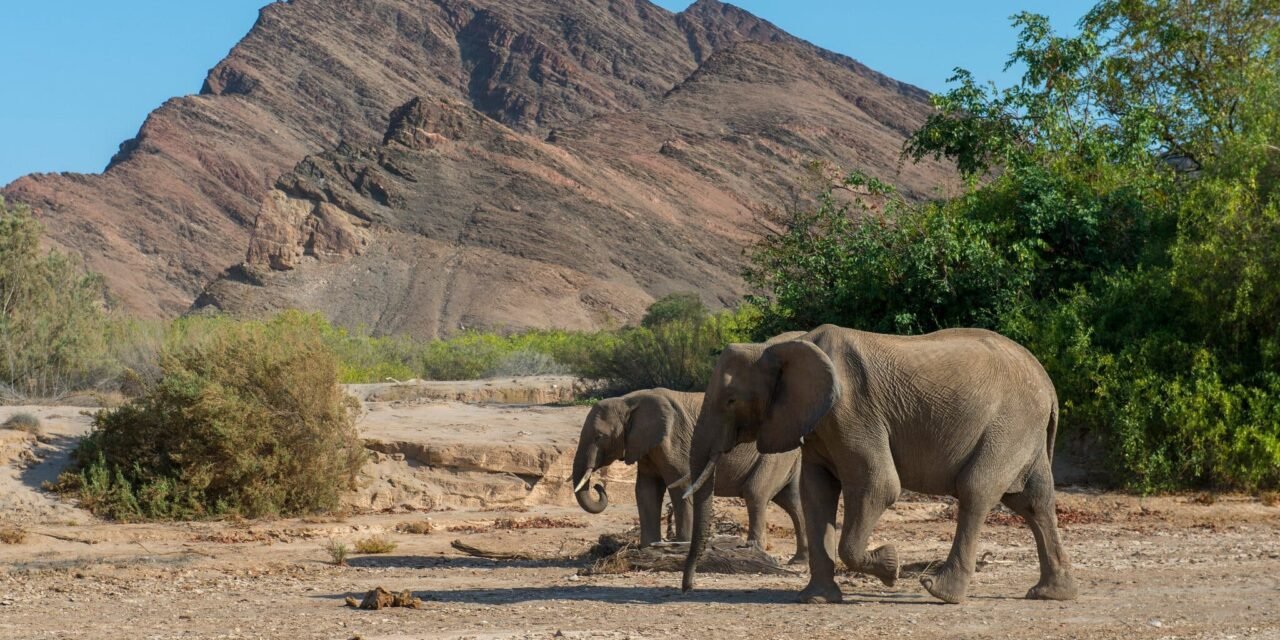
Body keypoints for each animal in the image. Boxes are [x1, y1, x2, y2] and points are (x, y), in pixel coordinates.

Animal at [573, 384, 808, 560]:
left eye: (599, 437)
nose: (599, 486)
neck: (628, 401)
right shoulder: (646, 447)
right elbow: (646, 491)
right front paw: (648, 550)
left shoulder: (674, 441)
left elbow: (680, 488)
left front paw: (681, 547)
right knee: (793, 500)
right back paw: (799, 560)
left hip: (773, 455)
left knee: (755, 494)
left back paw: (755, 551)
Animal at [686, 325, 1075, 604]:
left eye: (731, 400)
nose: (687, 587)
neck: (784, 344)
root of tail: (1050, 385)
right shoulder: (818, 424)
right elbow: (816, 494)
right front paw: (816, 600)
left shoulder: (852, 413)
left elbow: (880, 486)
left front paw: (891, 566)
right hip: (1023, 432)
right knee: (1034, 502)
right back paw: (1051, 594)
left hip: (1009, 425)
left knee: (976, 491)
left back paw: (940, 591)